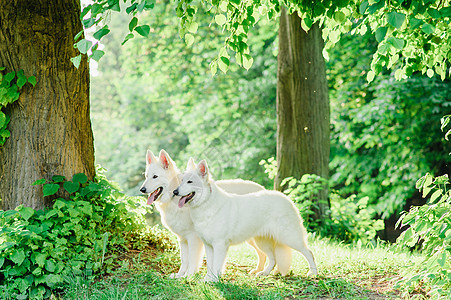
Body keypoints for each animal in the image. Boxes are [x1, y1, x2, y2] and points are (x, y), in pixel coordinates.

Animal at [139, 150, 292, 278]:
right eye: (146, 176)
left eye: (155, 177)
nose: (142, 189)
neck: (174, 197)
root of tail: (263, 189)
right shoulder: (182, 240)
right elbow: (184, 260)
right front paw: (179, 275)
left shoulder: (194, 239)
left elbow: (192, 261)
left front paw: (188, 276)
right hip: (253, 237)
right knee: (263, 254)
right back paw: (259, 270)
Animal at [173, 159, 318, 282]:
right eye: (181, 181)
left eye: (190, 182)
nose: (175, 191)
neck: (206, 204)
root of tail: (287, 199)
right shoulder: (209, 246)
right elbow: (210, 265)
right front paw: (208, 279)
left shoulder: (219, 245)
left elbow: (216, 264)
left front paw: (213, 280)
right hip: (262, 242)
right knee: (273, 258)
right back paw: (264, 273)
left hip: (289, 238)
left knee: (309, 252)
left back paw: (313, 273)